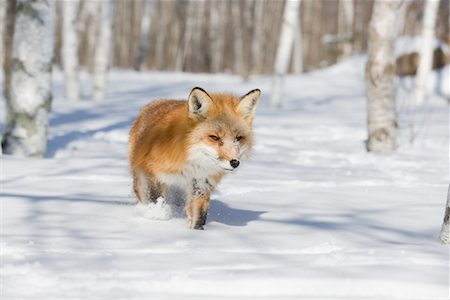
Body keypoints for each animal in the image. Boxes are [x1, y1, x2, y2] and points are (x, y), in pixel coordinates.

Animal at [128, 86, 260, 230]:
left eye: (238, 138)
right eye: (214, 137)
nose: (235, 162)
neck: (192, 163)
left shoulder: (201, 185)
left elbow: (199, 215)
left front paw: (196, 233)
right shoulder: (152, 173)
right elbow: (155, 199)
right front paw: (157, 215)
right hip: (140, 181)